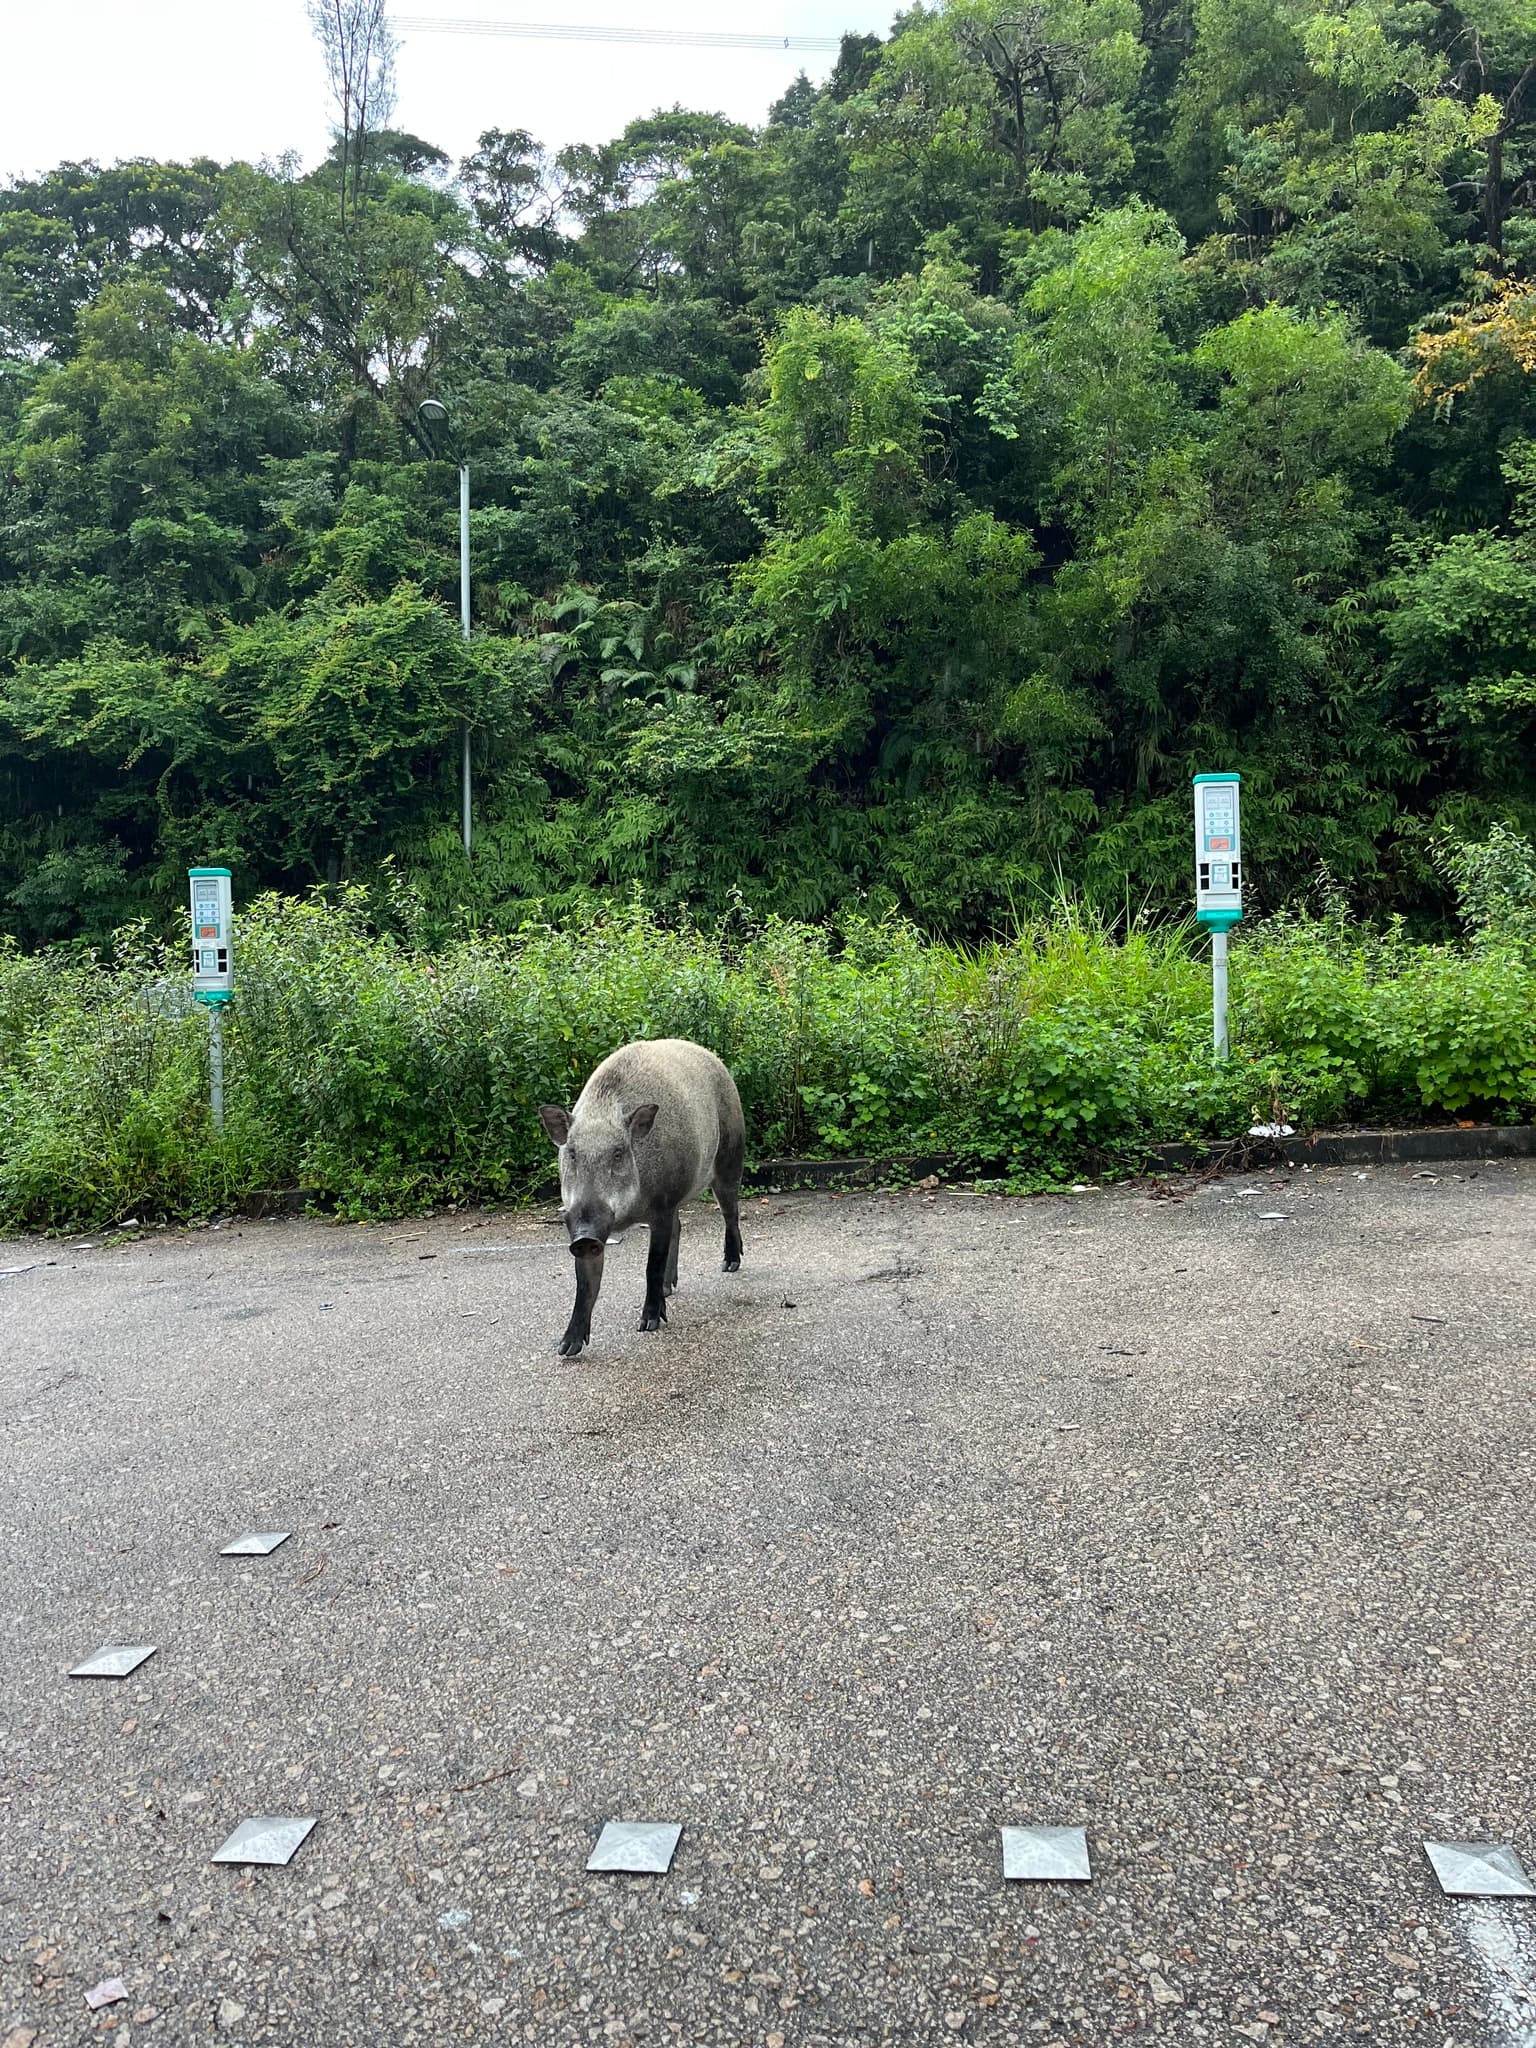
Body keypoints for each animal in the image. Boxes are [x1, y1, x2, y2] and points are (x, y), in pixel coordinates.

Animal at [538, 1038, 745, 1356]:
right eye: (572, 1154)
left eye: (619, 1153)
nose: (585, 1236)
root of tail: (715, 1060)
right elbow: (585, 1284)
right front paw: (565, 1349)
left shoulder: (661, 1205)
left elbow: (652, 1265)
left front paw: (648, 1324)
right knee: (680, 1227)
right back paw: (669, 1289)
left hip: (730, 1156)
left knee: (730, 1211)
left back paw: (729, 1265)